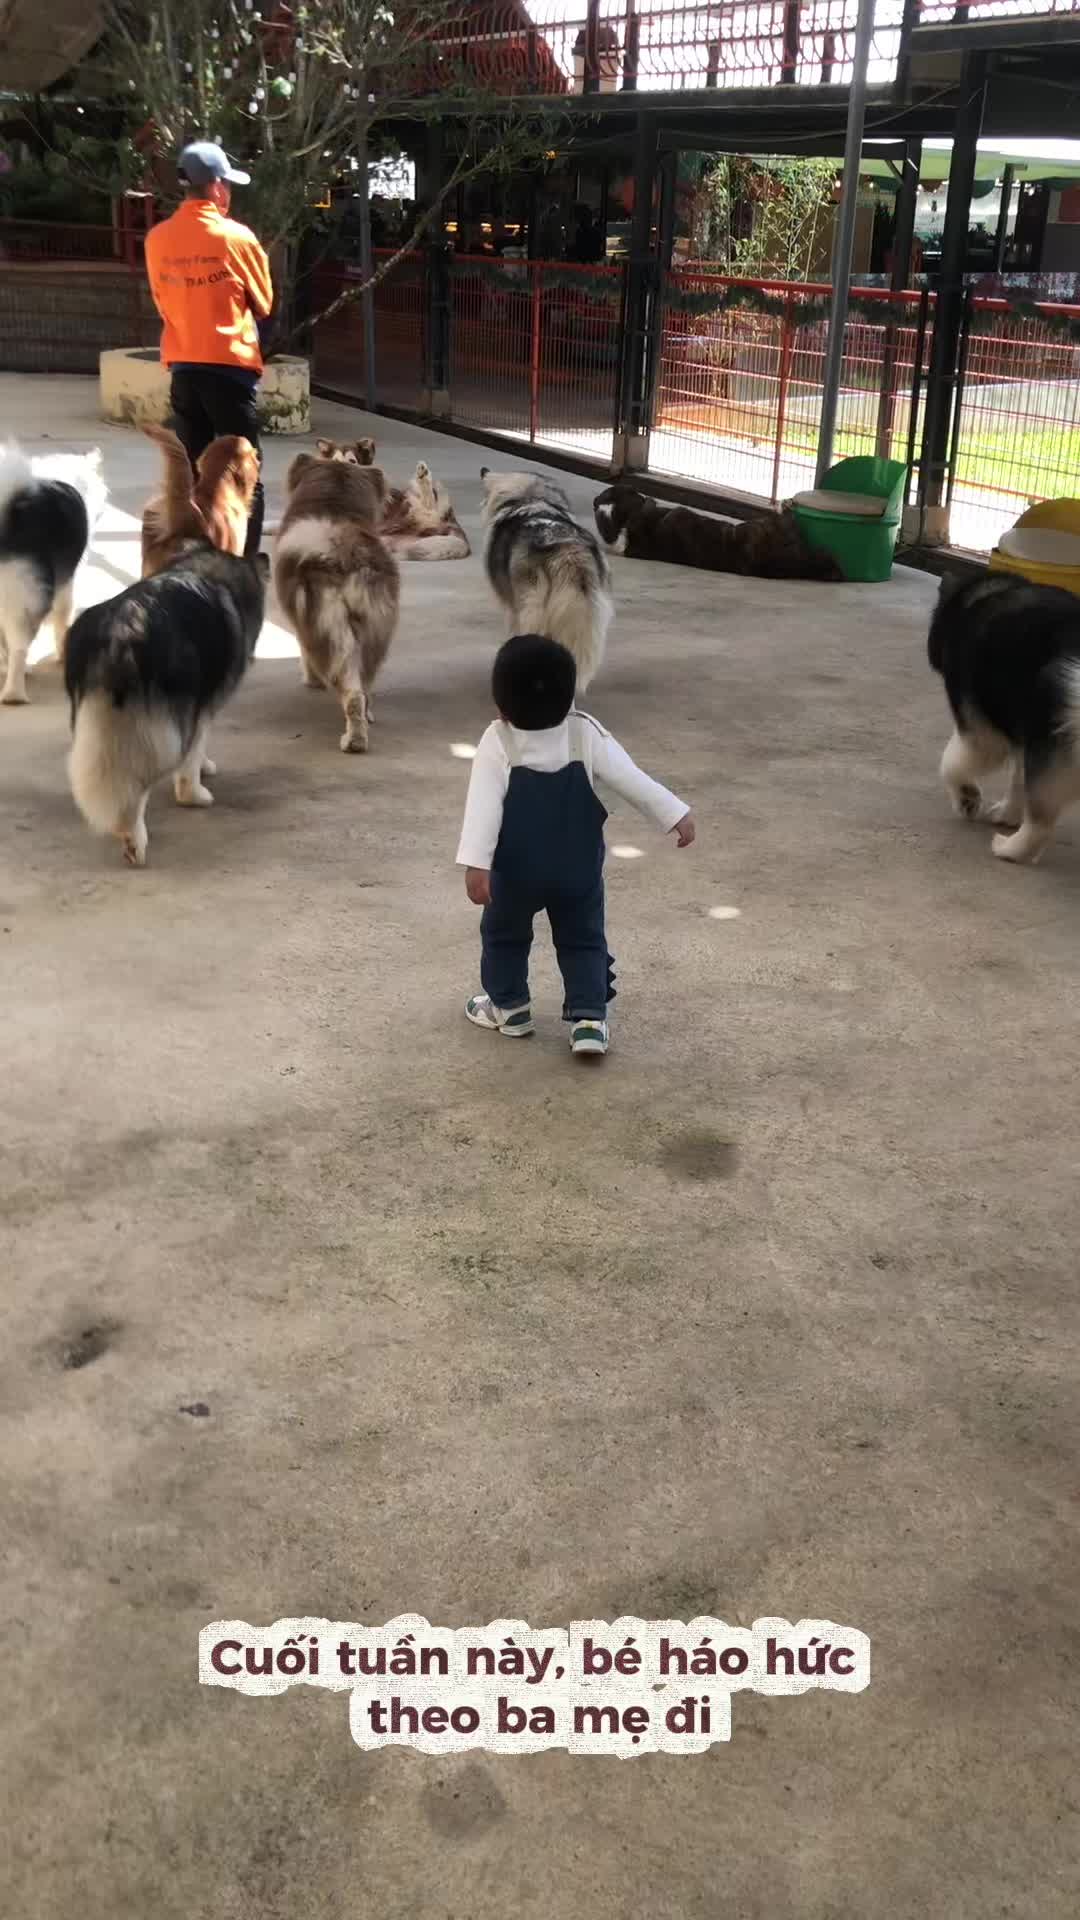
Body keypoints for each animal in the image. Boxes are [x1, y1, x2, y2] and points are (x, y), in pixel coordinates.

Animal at [65, 545, 266, 867]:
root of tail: (120, 632)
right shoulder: (201, 707)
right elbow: (193, 754)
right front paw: (196, 789)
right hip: (161, 726)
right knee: (140, 783)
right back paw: (136, 835)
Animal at [273, 455, 399, 753]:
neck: (334, 503)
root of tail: (344, 554)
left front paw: (310, 681)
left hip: (326, 627)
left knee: (351, 692)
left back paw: (352, 741)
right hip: (374, 628)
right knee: (364, 687)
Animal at [929, 570, 1080, 864]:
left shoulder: (981, 735)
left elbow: (950, 763)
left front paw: (967, 796)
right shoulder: (1023, 736)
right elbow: (1017, 778)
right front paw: (1008, 813)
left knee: (1040, 825)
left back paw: (1009, 849)